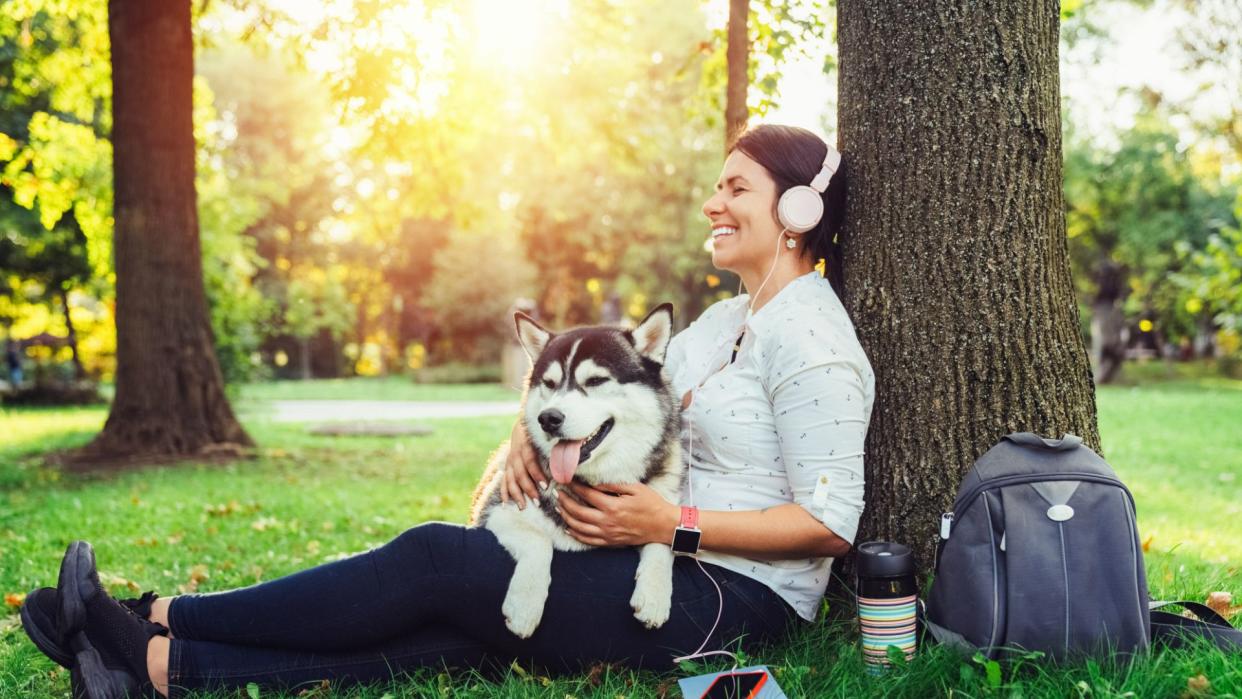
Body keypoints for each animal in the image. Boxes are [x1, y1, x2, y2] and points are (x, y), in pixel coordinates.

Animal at [469, 306, 685, 640]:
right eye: (549, 383)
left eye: (595, 380)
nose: (549, 418)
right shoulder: (495, 512)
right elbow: (539, 541)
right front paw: (524, 606)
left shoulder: (658, 508)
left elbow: (662, 544)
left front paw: (654, 596)